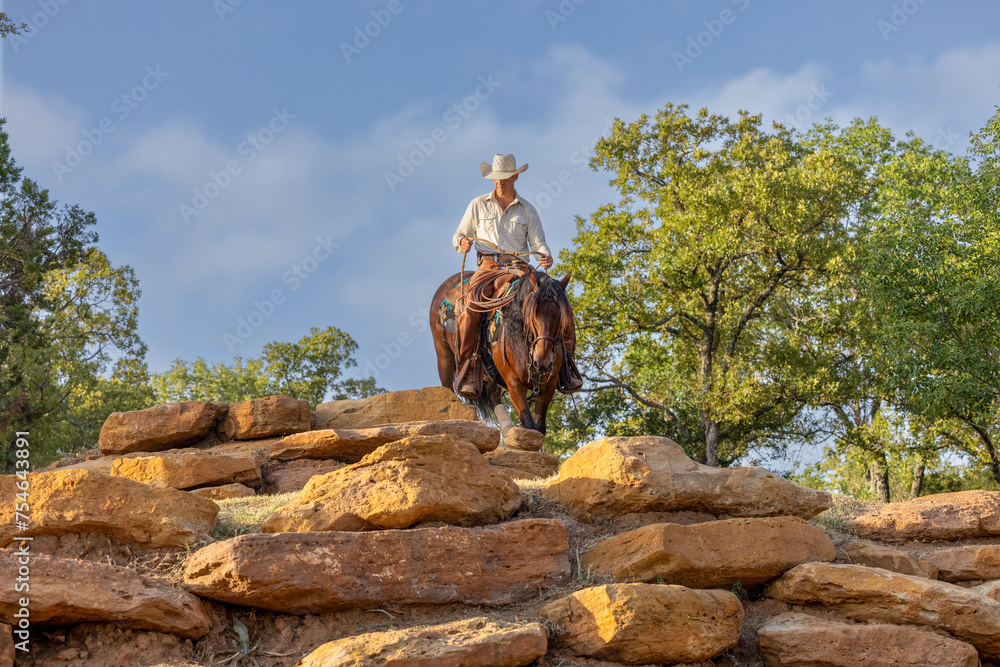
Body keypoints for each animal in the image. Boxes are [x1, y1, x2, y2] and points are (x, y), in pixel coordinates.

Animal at [430, 267, 572, 435]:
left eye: (561, 315)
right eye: (533, 313)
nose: (543, 361)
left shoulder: (548, 386)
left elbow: (539, 428)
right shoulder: (513, 382)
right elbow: (529, 425)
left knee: (494, 397)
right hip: (444, 355)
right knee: (448, 388)